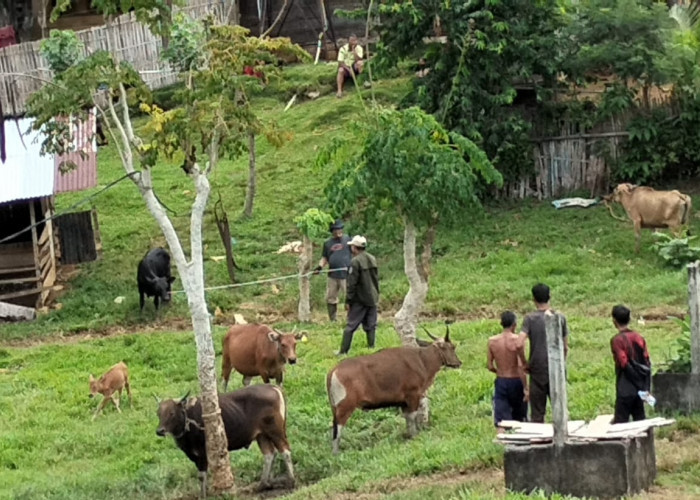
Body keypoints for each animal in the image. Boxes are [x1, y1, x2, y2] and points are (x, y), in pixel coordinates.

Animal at [154, 384, 294, 498]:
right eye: (158, 413)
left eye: (171, 413)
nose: (159, 431)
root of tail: (273, 387)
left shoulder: (202, 453)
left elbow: (202, 476)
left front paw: (203, 495)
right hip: (261, 435)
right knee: (269, 454)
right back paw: (263, 484)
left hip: (275, 431)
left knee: (285, 451)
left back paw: (291, 481)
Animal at [326, 322, 462, 456]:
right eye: (453, 347)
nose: (459, 362)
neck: (423, 360)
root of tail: (333, 371)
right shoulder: (413, 395)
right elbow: (412, 416)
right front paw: (414, 435)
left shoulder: (403, 402)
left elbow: (407, 418)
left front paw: (409, 435)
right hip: (345, 406)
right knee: (338, 427)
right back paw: (336, 453)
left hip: (334, 407)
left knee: (333, 426)